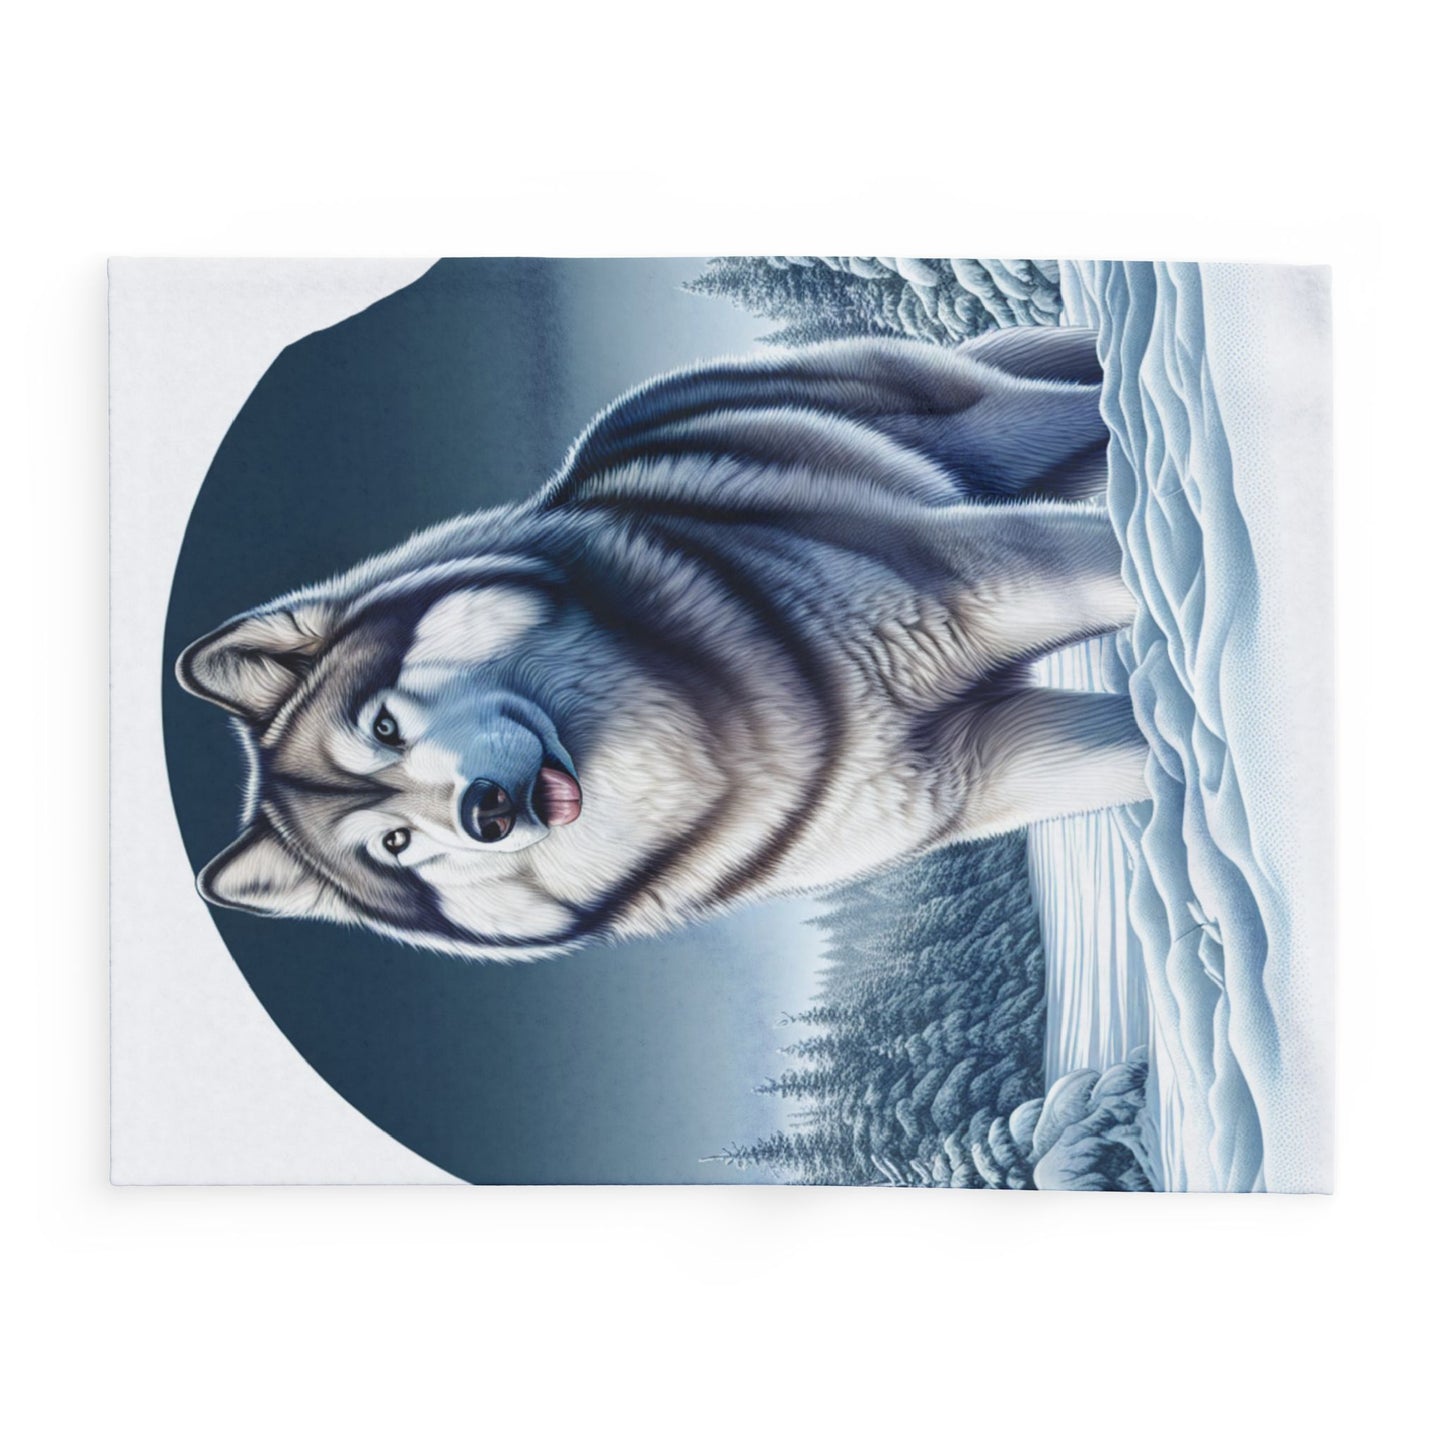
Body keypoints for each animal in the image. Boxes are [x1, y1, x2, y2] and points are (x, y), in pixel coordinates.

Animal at [177, 326, 1147, 960]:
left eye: (382, 727)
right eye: (394, 845)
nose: (487, 811)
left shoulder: (986, 575)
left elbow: (1120, 571)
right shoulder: (997, 765)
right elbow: (1136, 763)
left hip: (989, 428)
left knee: (1076, 404)